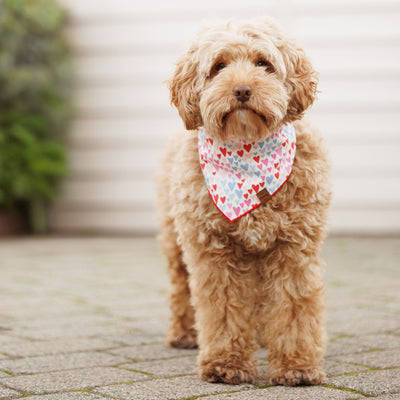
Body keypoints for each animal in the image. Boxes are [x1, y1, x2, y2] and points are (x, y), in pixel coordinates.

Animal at [156, 18, 332, 388]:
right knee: (181, 288)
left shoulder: (294, 247)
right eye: (218, 67)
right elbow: (222, 308)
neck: (247, 154)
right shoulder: (214, 249)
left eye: (263, 63)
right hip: (176, 241)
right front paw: (226, 363)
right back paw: (183, 333)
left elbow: (294, 307)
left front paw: (296, 366)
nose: (241, 91)